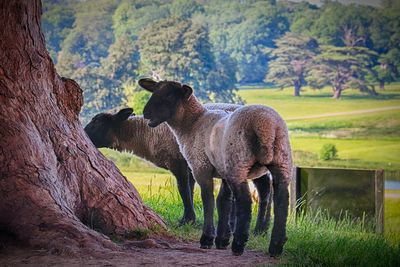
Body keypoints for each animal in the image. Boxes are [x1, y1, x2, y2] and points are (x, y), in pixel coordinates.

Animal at [84, 104, 272, 230]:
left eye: (97, 122)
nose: (83, 133)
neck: (145, 133)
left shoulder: (178, 162)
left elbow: (183, 189)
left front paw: (187, 220)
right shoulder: (189, 166)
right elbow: (189, 189)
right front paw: (190, 218)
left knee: (264, 188)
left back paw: (259, 228)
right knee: (265, 187)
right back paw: (261, 228)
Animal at [141, 78, 294, 258]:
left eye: (170, 96)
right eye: (154, 91)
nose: (145, 113)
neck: (193, 123)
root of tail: (265, 125)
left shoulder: (201, 168)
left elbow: (208, 200)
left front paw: (207, 239)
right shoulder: (223, 171)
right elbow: (223, 201)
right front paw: (222, 240)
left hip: (238, 162)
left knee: (245, 200)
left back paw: (239, 244)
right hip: (281, 160)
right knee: (282, 199)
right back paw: (276, 246)